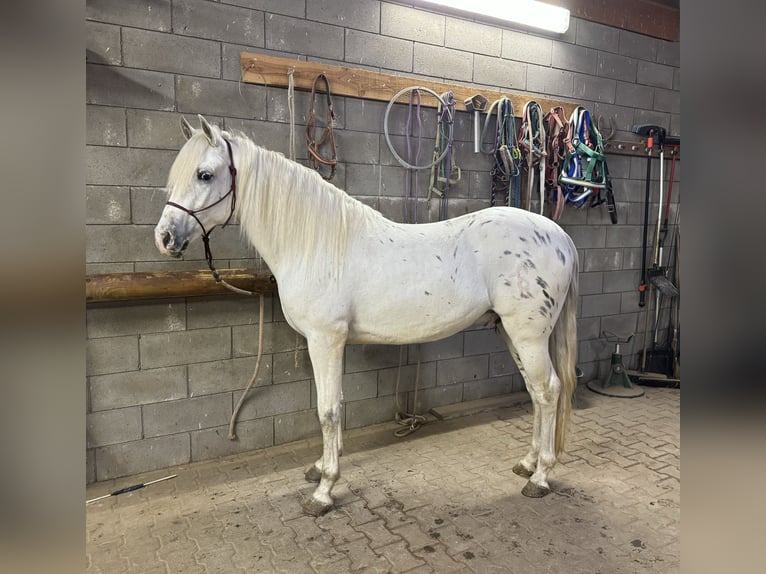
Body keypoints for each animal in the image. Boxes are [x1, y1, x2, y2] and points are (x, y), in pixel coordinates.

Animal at [153, 116, 580, 516]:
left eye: (204, 174)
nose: (165, 238)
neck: (316, 244)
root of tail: (560, 236)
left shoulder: (325, 340)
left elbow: (327, 411)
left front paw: (324, 490)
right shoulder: (329, 343)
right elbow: (334, 405)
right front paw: (321, 468)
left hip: (528, 336)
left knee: (548, 391)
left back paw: (540, 477)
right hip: (510, 332)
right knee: (536, 393)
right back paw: (527, 463)